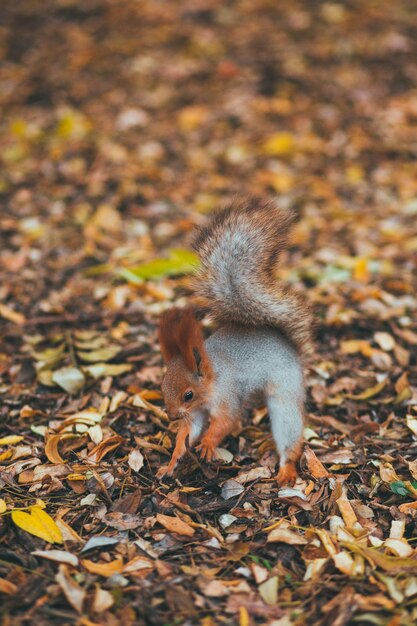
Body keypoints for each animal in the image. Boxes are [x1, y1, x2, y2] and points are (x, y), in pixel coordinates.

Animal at [157, 197, 312, 486]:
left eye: (188, 394)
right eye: (161, 387)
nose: (171, 415)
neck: (212, 380)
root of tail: (284, 340)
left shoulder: (227, 397)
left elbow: (225, 423)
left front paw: (208, 444)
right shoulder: (194, 413)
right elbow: (187, 432)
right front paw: (173, 460)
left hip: (285, 388)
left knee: (289, 431)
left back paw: (286, 470)